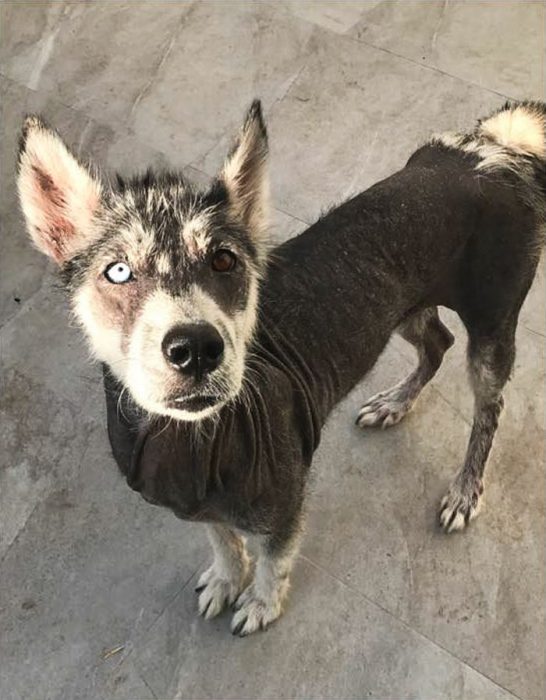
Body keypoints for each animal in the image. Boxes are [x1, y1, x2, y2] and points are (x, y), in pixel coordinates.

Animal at [18, 98, 544, 636]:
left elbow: (274, 557)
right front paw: (228, 578)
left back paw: (465, 491)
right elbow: (221, 537)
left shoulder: (285, 501)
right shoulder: (197, 502)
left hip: (493, 321)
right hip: (403, 303)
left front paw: (261, 602)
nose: (196, 348)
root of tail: (494, 151)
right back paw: (395, 404)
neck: (191, 440)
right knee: (438, 341)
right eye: (118, 271)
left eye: (224, 260)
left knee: (489, 409)